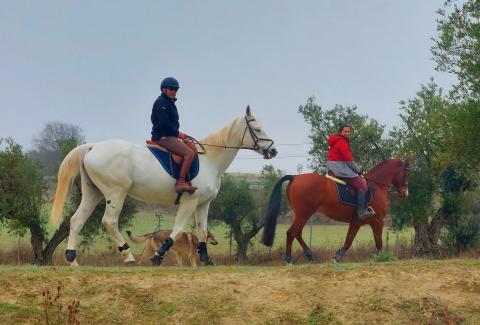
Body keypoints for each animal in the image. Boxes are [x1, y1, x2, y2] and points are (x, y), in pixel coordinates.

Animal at [50, 106, 278, 266]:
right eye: (257, 129)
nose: (273, 151)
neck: (210, 160)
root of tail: (92, 147)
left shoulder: (203, 204)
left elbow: (202, 230)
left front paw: (206, 259)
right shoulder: (190, 201)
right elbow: (177, 230)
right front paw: (159, 255)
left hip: (93, 193)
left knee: (77, 220)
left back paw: (72, 260)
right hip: (116, 192)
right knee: (109, 221)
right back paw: (128, 255)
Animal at [262, 158, 408, 264]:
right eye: (406, 172)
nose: (405, 193)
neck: (376, 186)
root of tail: (295, 177)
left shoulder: (356, 222)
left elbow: (348, 241)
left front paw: (337, 257)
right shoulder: (377, 221)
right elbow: (378, 242)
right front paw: (382, 258)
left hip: (301, 215)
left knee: (297, 233)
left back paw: (309, 255)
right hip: (304, 214)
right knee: (291, 232)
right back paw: (288, 258)